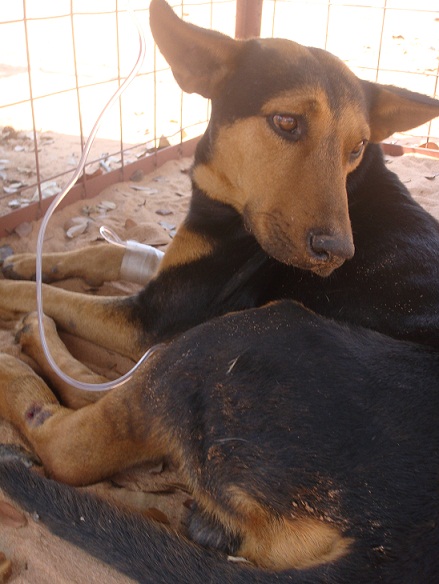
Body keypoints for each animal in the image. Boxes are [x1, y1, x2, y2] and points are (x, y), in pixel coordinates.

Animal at [0, 0, 439, 580]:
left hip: (251, 334)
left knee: (75, 441)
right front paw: (25, 261)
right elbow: (104, 253)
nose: (339, 252)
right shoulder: (174, 273)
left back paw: (21, 357)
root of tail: (395, 547)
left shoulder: (151, 318)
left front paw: (14, 287)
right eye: (286, 122)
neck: (224, 199)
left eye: (357, 146)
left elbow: (61, 298)